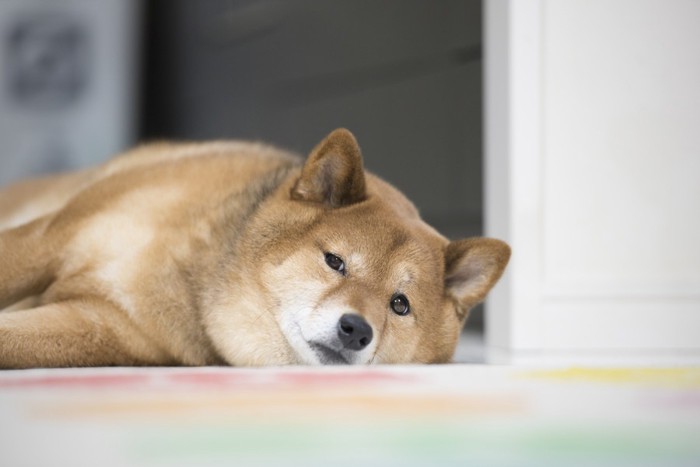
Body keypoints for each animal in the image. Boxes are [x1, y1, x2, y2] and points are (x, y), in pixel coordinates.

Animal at [0, 129, 508, 370]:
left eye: (399, 305)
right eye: (335, 262)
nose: (356, 330)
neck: (191, 268)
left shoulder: (96, 323)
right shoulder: (52, 237)